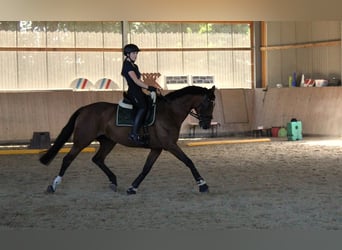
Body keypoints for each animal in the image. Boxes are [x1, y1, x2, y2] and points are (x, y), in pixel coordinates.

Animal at [40, 85, 215, 194]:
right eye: (208, 103)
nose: (206, 124)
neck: (169, 112)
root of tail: (85, 109)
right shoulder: (170, 145)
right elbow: (188, 161)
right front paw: (203, 185)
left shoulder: (157, 148)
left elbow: (146, 169)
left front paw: (132, 188)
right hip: (82, 140)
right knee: (68, 159)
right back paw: (53, 186)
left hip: (108, 141)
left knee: (98, 159)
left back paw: (113, 181)